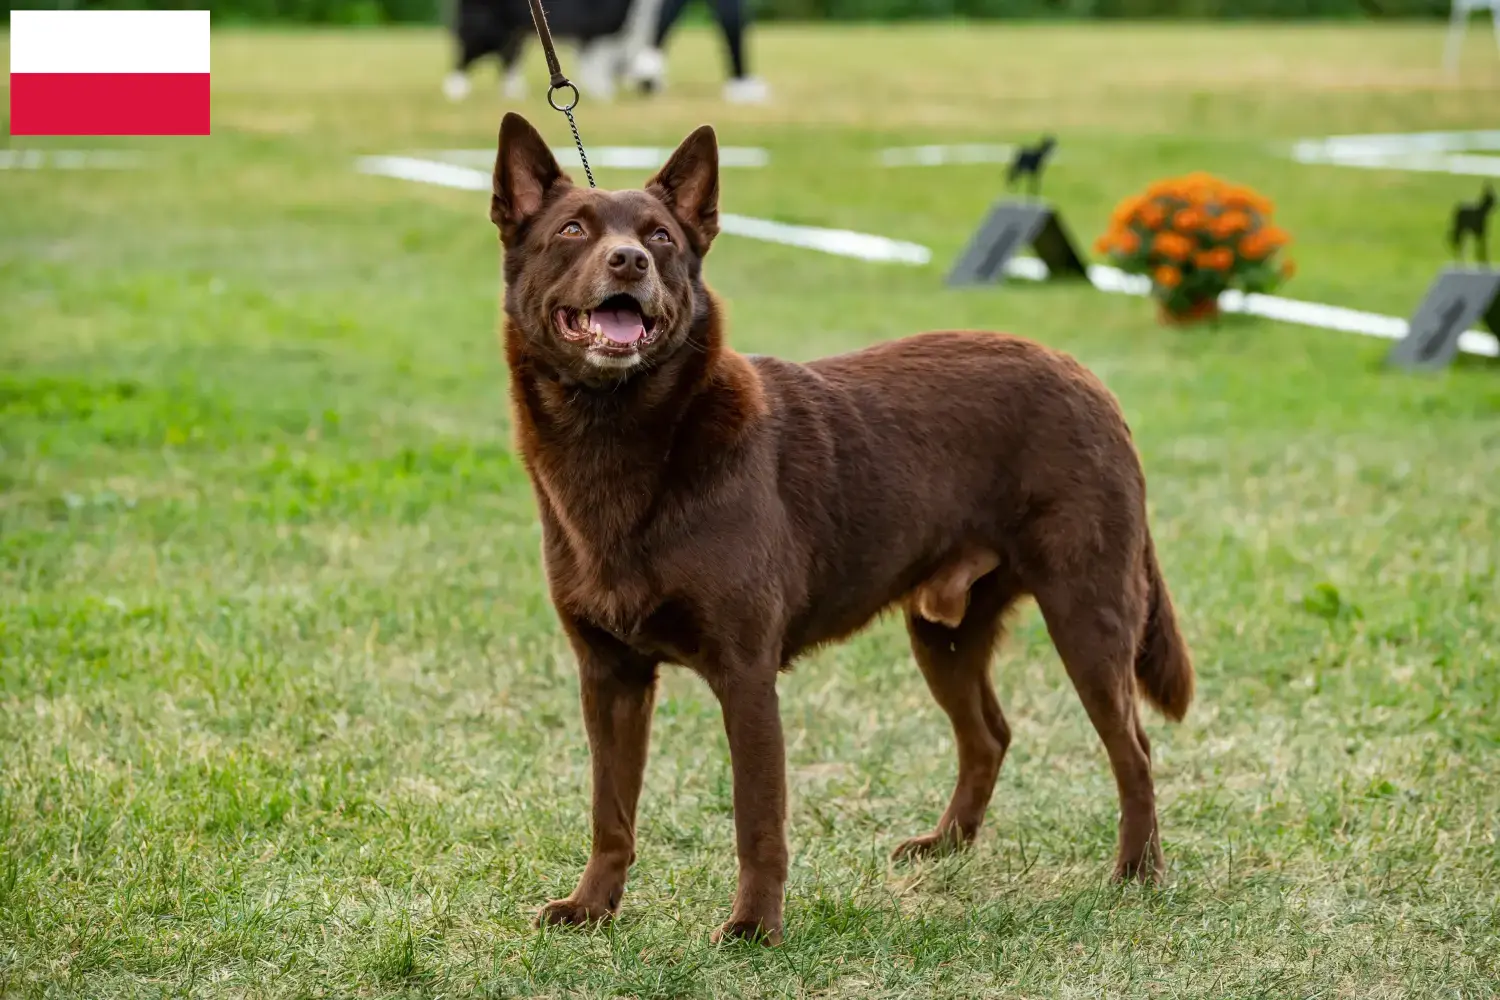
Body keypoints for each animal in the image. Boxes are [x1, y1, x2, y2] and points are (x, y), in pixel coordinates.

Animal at [438, 0, 768, 103]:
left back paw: (513, 91)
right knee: (467, 52)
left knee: (509, 58)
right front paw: (603, 93)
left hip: (517, 29)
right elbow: (597, 62)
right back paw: (456, 90)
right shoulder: (599, 27)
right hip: (490, 25)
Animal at [492, 113, 1194, 941]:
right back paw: (946, 846)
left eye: (660, 237)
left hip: (1088, 611)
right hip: (944, 630)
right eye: (572, 229)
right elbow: (611, 810)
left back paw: (1137, 872)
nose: (629, 261)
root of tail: (1088, 378)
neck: (622, 438)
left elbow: (757, 818)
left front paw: (754, 929)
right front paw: (592, 907)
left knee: (1135, 748)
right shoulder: (609, 675)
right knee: (990, 734)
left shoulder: (746, 673)